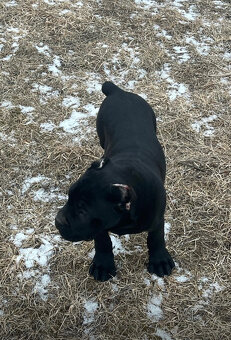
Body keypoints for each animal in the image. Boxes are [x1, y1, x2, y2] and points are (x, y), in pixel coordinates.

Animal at [55, 82, 175, 282]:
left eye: (83, 210)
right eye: (68, 197)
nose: (57, 221)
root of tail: (118, 91)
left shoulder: (157, 217)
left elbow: (156, 237)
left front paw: (160, 260)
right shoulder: (99, 224)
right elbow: (103, 241)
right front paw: (103, 264)